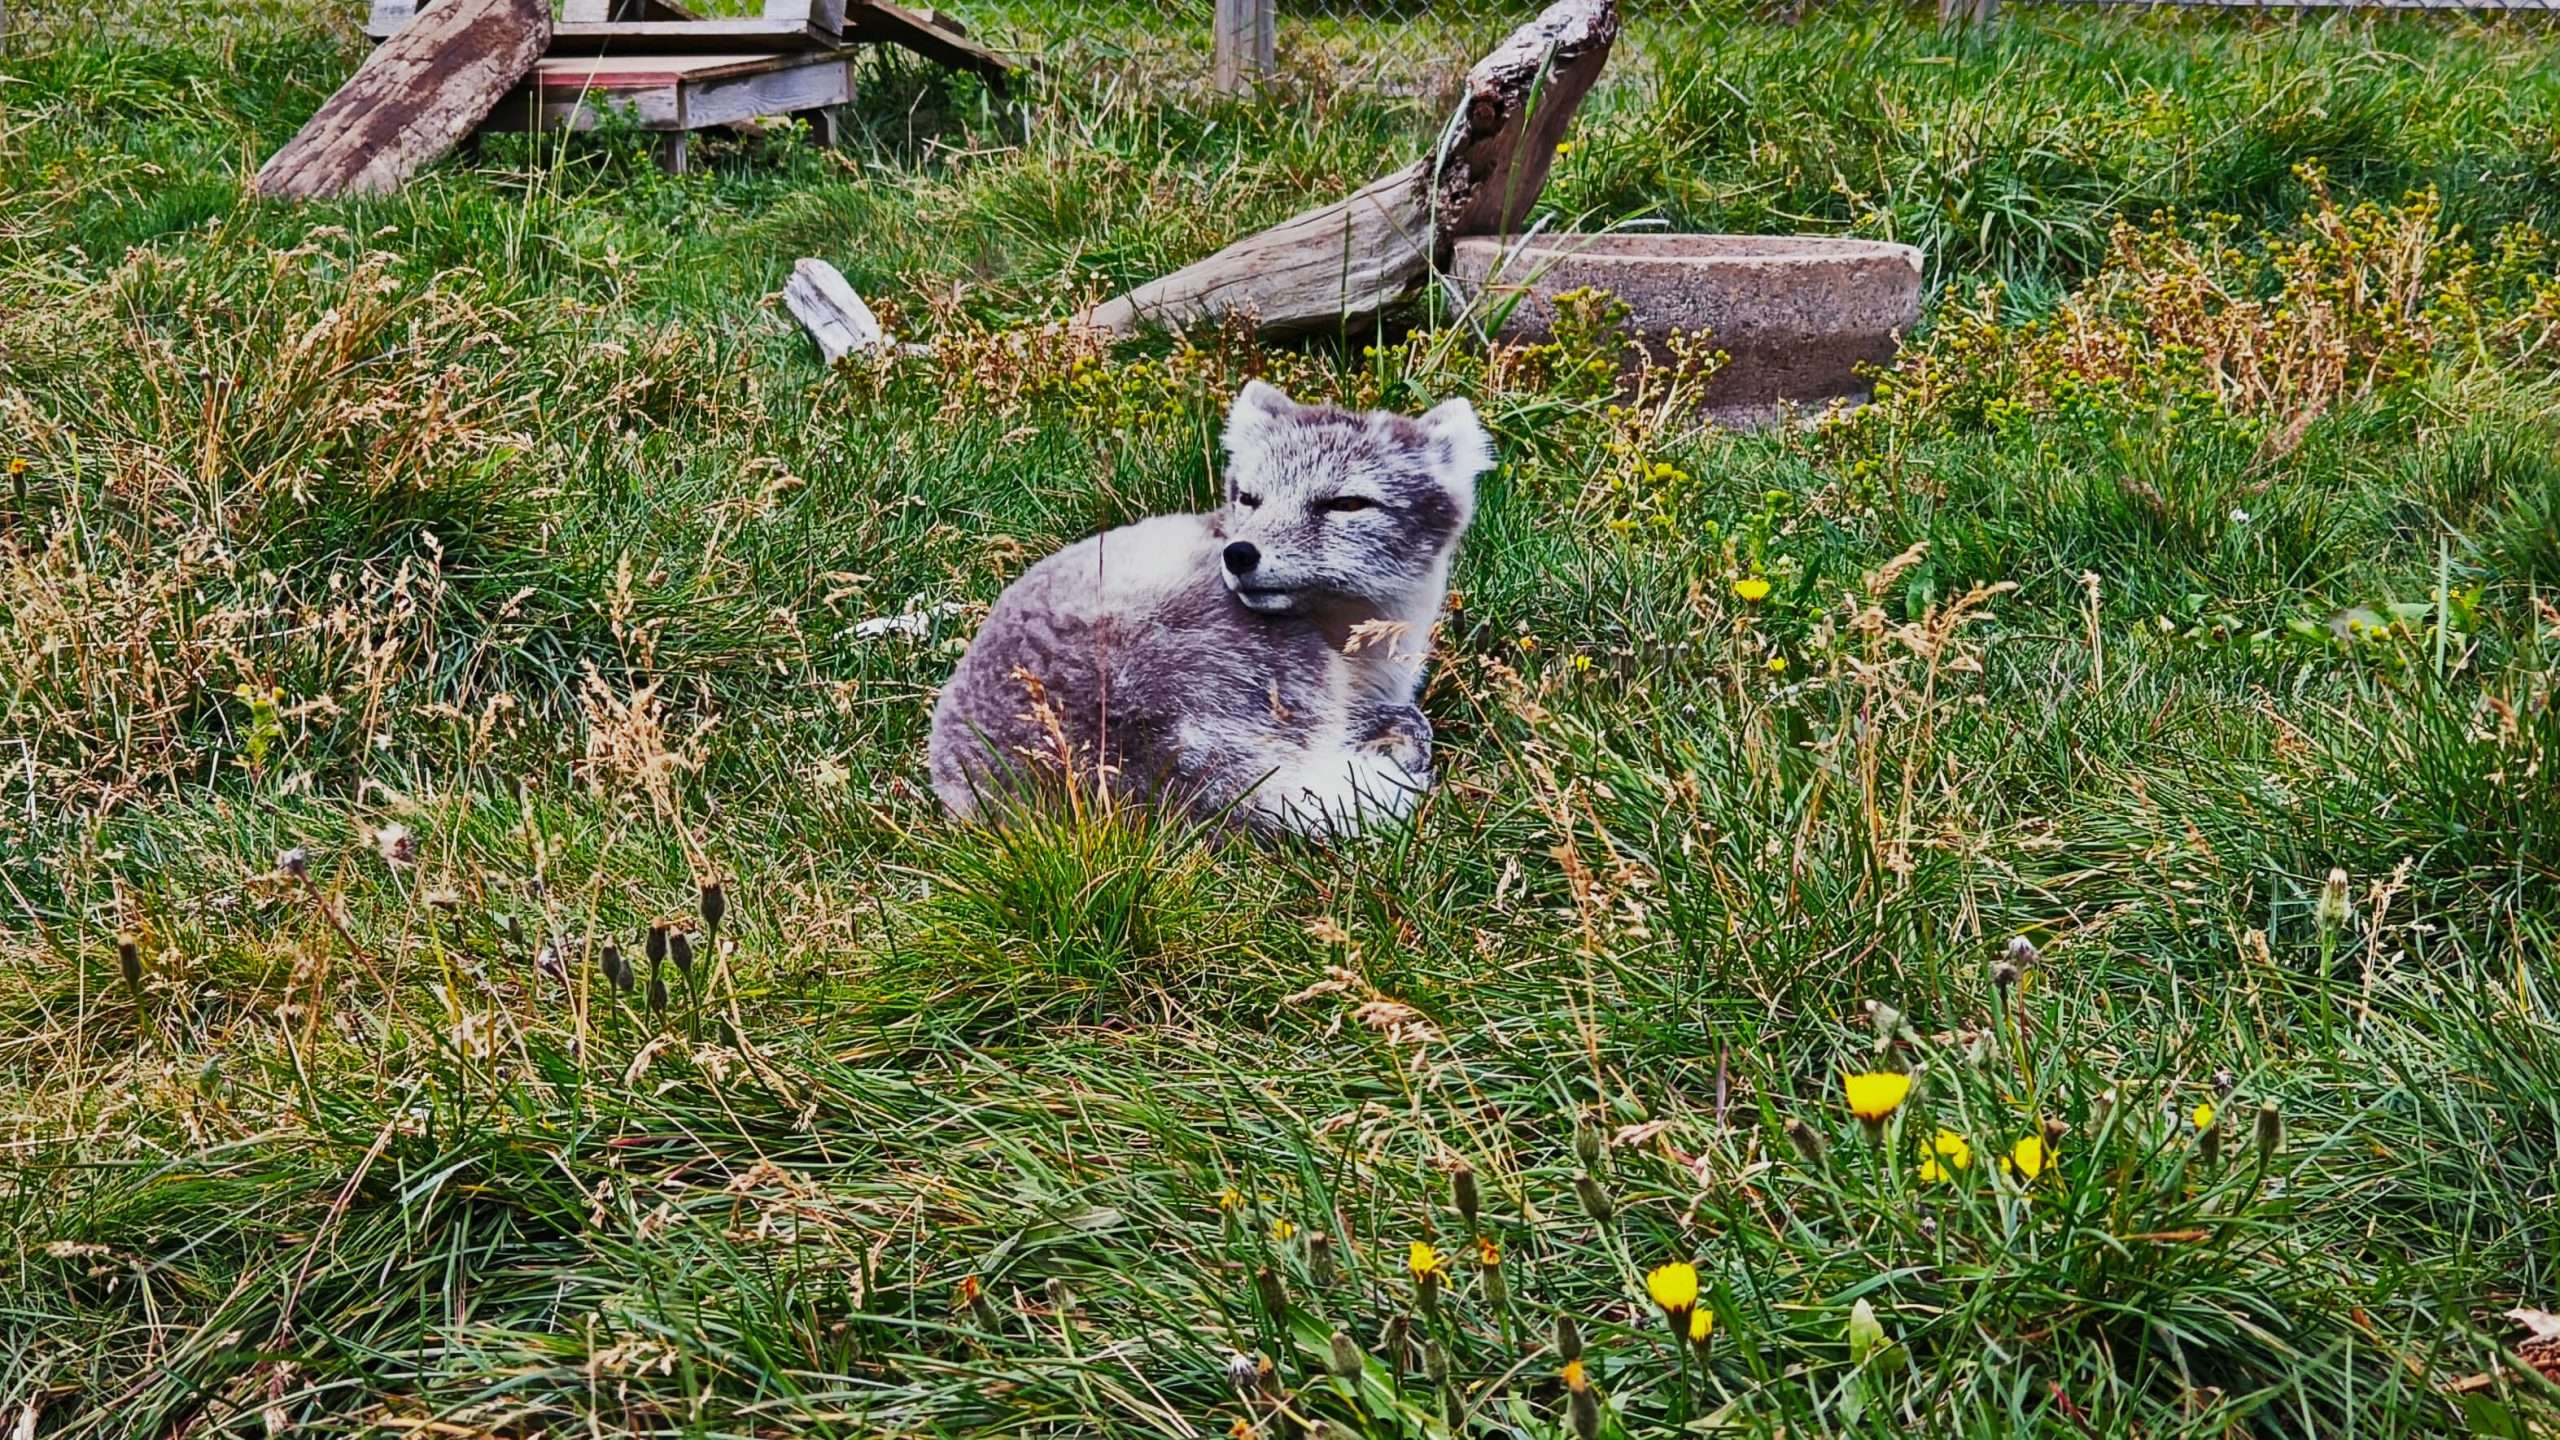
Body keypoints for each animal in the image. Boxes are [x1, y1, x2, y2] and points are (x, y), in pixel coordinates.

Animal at [928, 380, 1494, 837]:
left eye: (1347, 504)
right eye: (1249, 497)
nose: (1239, 554)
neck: (1358, 636)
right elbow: (1409, 721)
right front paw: (1398, 740)